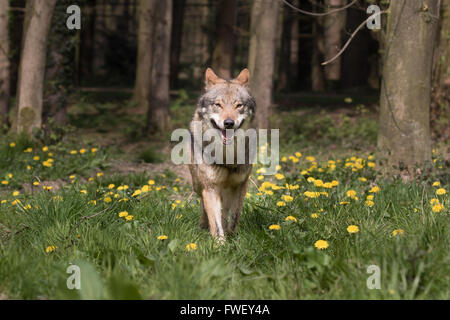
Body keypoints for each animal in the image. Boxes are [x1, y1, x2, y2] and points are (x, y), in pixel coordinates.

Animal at [187, 68, 256, 242]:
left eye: (238, 105)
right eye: (218, 104)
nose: (229, 123)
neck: (227, 155)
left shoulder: (241, 185)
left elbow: (234, 217)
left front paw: (232, 237)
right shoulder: (210, 188)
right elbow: (216, 223)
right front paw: (220, 244)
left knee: (225, 210)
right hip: (198, 185)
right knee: (204, 205)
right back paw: (203, 224)